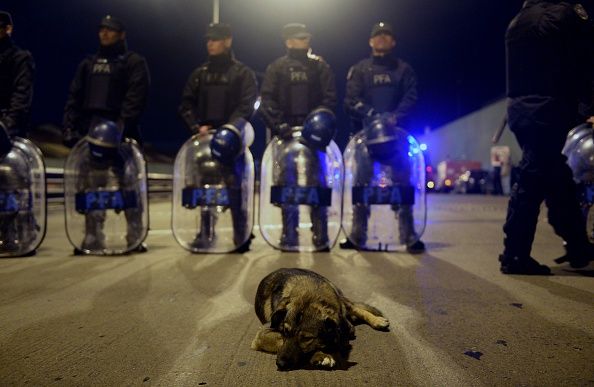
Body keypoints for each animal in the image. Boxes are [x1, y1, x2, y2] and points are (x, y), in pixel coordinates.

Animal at [250, 268, 388, 372]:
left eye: (306, 338)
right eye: (285, 331)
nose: (280, 364)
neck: (313, 292)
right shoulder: (262, 334)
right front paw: (320, 355)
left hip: (342, 300)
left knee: (357, 308)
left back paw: (377, 321)